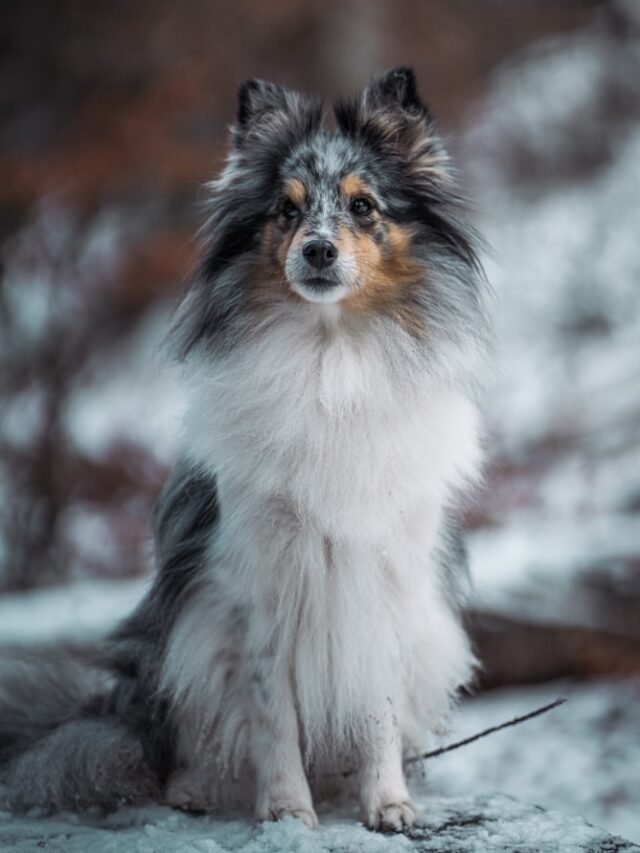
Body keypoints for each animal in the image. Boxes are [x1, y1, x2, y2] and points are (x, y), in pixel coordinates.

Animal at [1, 68, 490, 832]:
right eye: (286, 211)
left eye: (363, 205)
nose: (317, 251)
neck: (330, 358)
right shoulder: (256, 591)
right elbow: (272, 715)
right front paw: (287, 809)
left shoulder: (383, 581)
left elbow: (375, 706)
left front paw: (388, 804)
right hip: (173, 642)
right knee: (174, 741)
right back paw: (194, 787)